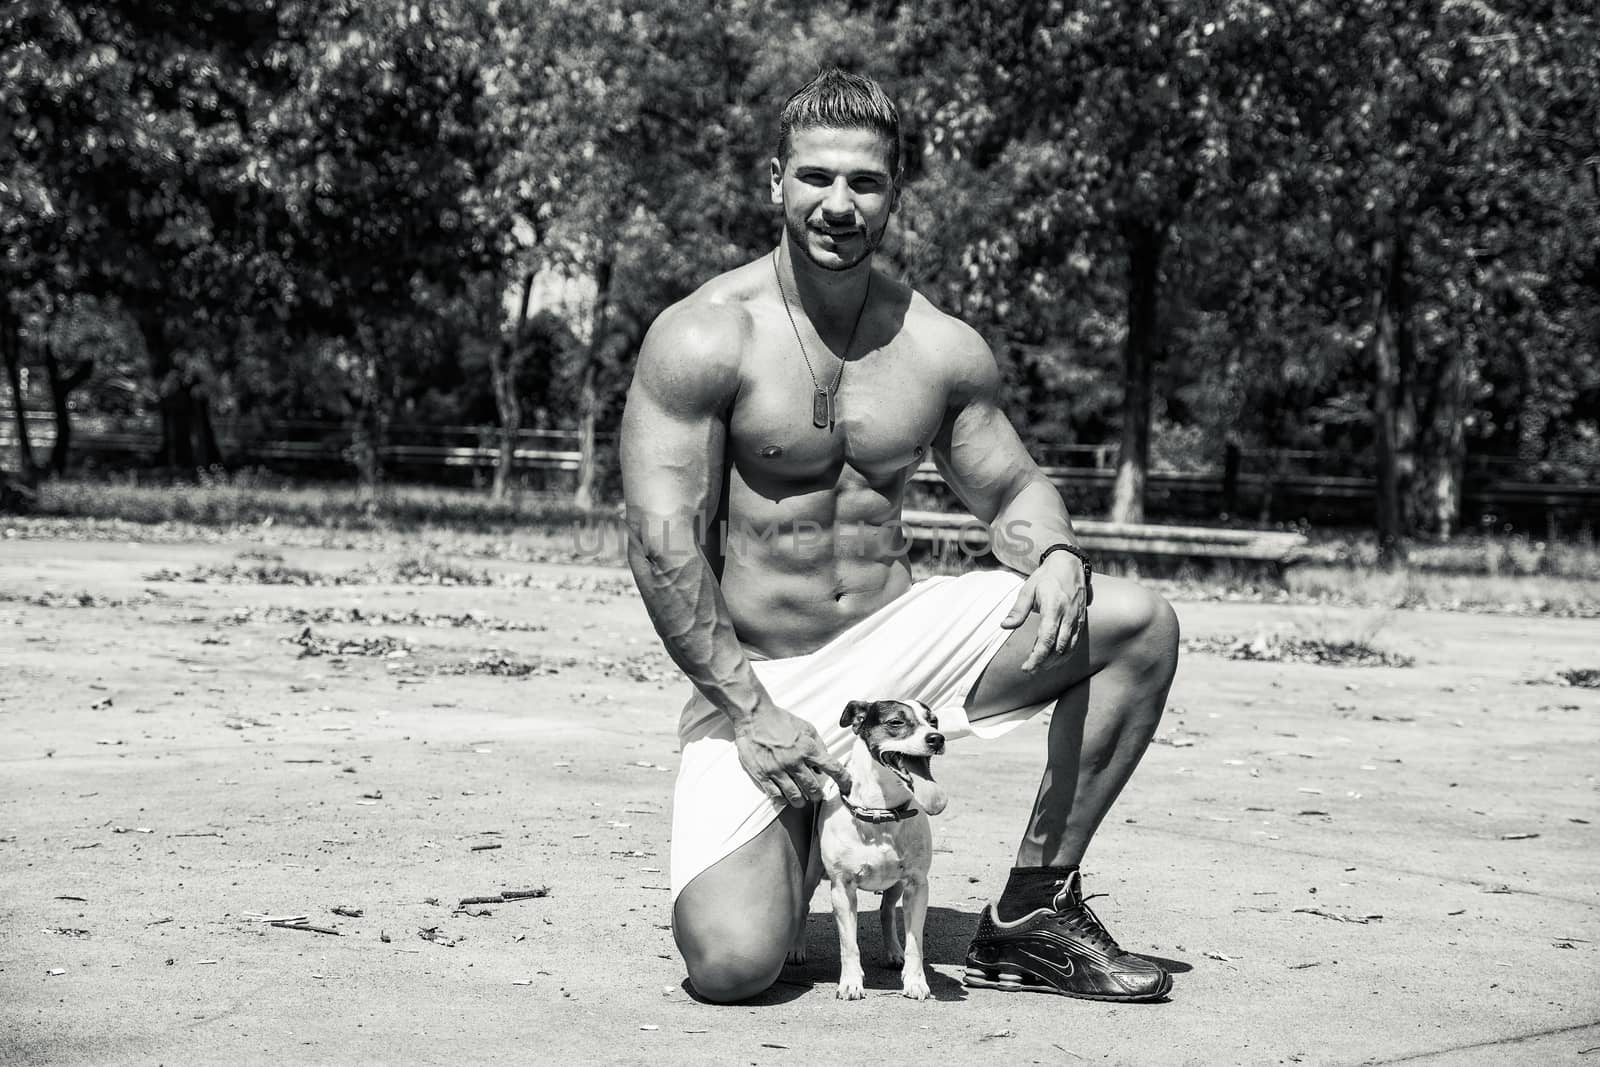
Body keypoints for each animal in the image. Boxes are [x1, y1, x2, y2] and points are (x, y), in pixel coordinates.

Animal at [790, 700, 947, 1004]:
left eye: (933, 721)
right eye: (897, 722)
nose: (937, 739)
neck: (881, 812)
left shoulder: (917, 886)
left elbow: (915, 944)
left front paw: (915, 982)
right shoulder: (842, 888)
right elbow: (849, 945)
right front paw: (850, 984)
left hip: (896, 885)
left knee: (887, 912)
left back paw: (894, 952)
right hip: (811, 873)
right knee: (803, 905)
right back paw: (795, 949)